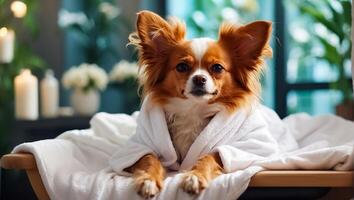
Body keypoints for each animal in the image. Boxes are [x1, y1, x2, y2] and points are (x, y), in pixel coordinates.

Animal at [124, 10, 272, 198]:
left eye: (217, 68)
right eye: (182, 67)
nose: (199, 78)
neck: (193, 110)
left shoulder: (245, 148)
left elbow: (210, 156)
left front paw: (195, 176)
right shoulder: (137, 147)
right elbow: (149, 157)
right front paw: (149, 179)